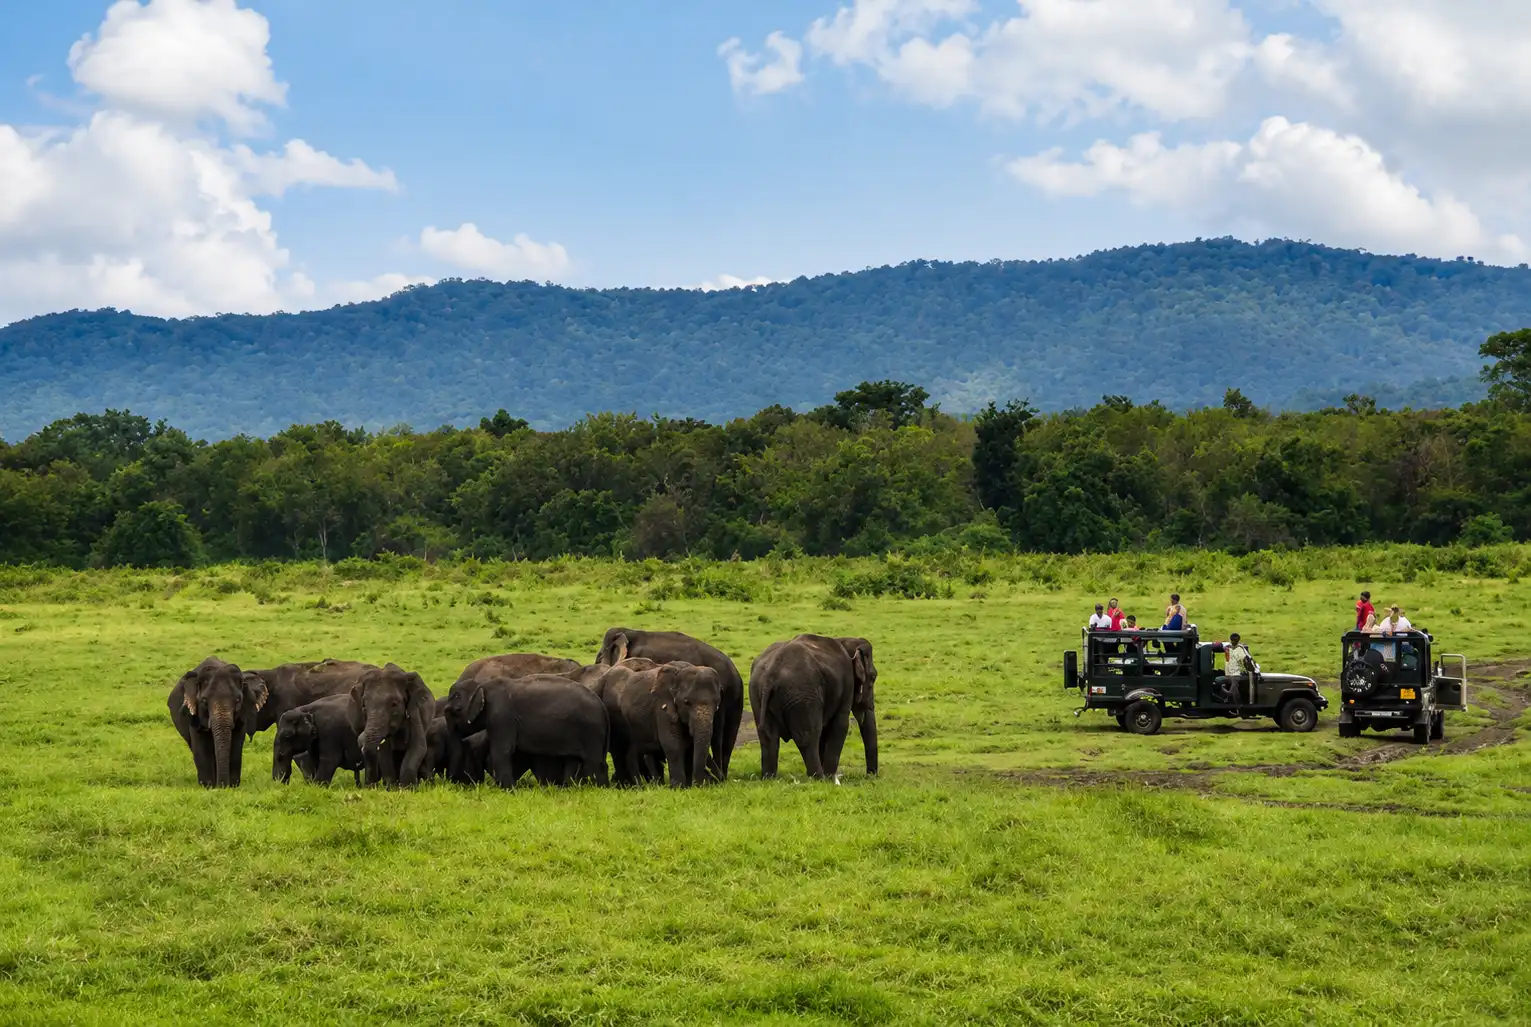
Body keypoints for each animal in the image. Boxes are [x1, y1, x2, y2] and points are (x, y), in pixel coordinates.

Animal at [168, 656, 269, 788]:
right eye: (204, 701)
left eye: (238, 700)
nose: (222, 786)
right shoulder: (195, 714)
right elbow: (201, 746)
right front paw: (208, 786)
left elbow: (236, 744)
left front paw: (232, 786)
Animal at [442, 673, 609, 787]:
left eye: (454, 711)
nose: (452, 782)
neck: (483, 685)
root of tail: (602, 707)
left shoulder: (502, 716)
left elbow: (503, 750)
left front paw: (508, 790)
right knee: (574, 760)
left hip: (591, 731)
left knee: (594, 762)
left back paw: (600, 789)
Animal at [749, 635, 878, 780]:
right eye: (873, 677)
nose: (870, 775)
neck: (845, 640)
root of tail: (771, 674)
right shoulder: (847, 683)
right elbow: (840, 726)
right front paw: (830, 777)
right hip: (802, 694)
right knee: (808, 736)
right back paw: (819, 778)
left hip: (757, 693)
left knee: (768, 736)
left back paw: (769, 778)